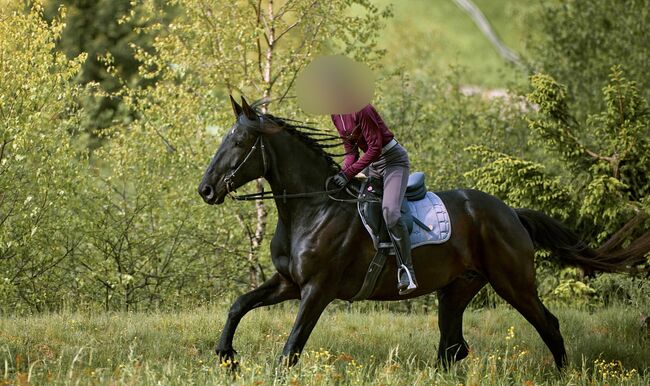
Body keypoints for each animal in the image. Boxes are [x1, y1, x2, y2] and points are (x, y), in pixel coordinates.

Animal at [196, 95, 644, 370]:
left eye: (239, 141)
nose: (205, 190)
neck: (312, 208)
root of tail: (510, 213)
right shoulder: (289, 282)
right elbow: (238, 305)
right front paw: (226, 356)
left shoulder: (317, 290)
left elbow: (290, 350)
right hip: (457, 288)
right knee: (453, 347)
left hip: (512, 282)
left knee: (547, 324)